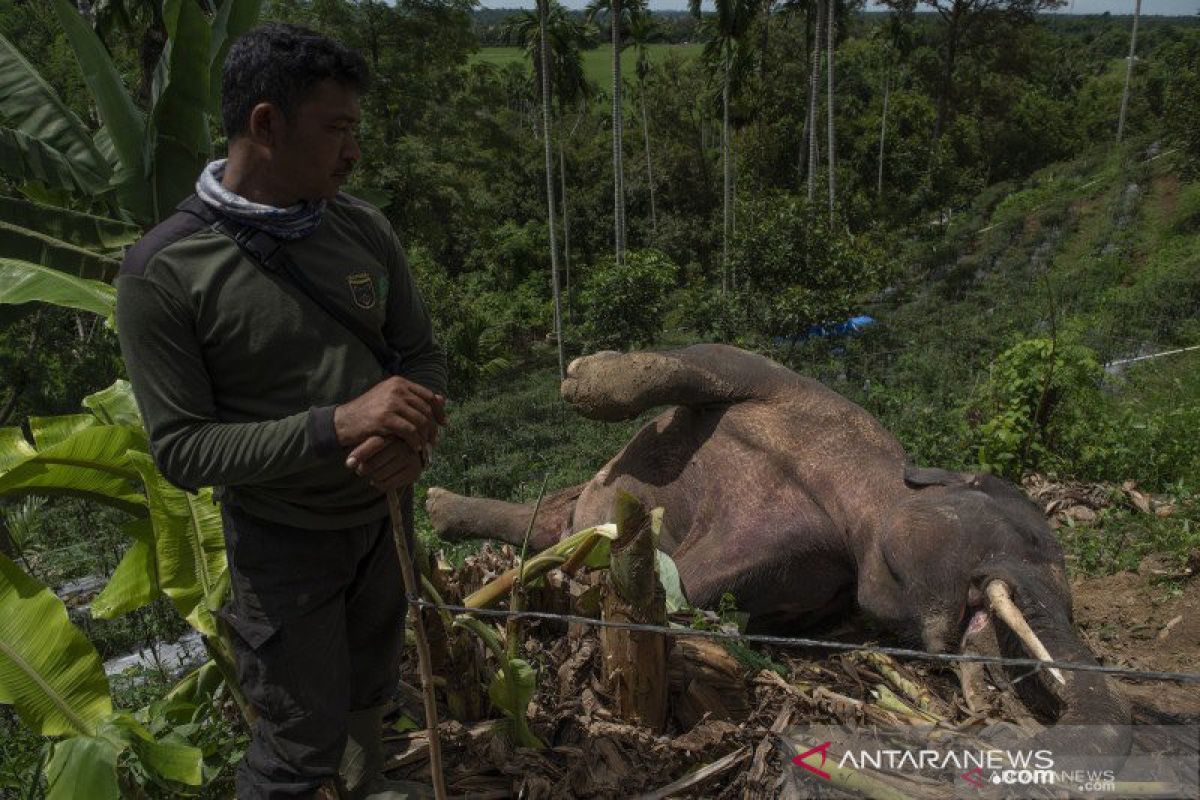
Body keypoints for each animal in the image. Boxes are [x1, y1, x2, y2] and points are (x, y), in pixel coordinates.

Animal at [432, 345, 1132, 758]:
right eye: (1036, 539)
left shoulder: (813, 568)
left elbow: (697, 592)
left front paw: (597, 599)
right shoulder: (783, 384)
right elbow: (705, 361)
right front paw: (578, 377)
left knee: (552, 530)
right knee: (555, 517)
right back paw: (442, 507)